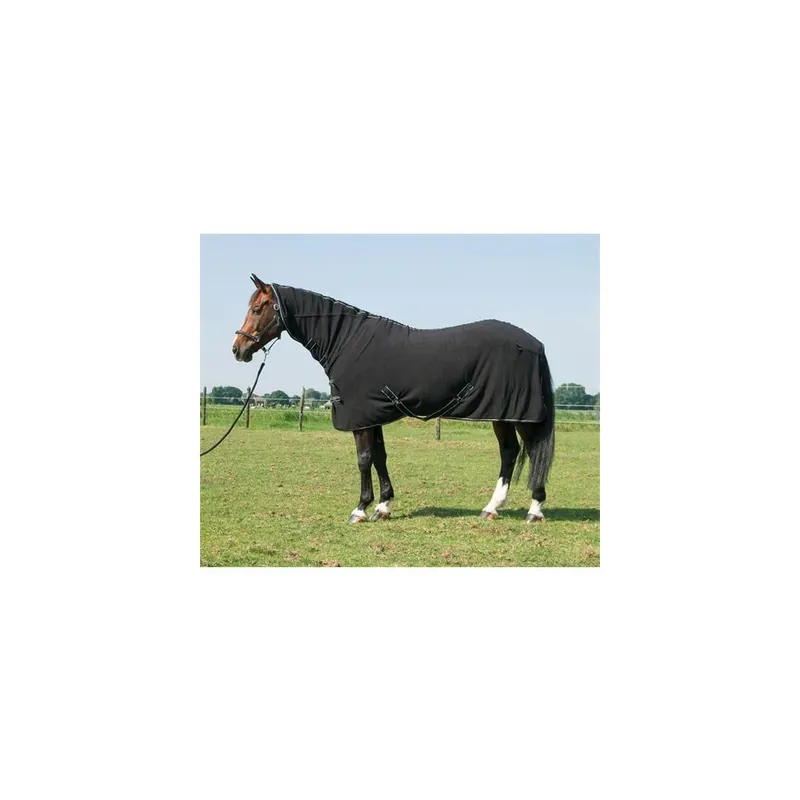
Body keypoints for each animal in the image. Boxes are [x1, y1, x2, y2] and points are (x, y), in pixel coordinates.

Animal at [232, 274, 555, 524]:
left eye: (258, 308)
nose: (238, 348)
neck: (347, 342)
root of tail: (535, 344)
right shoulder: (372, 415)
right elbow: (379, 456)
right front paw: (383, 506)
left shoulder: (361, 419)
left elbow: (363, 459)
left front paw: (360, 509)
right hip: (503, 415)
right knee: (510, 452)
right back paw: (491, 509)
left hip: (518, 415)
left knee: (528, 451)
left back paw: (534, 510)